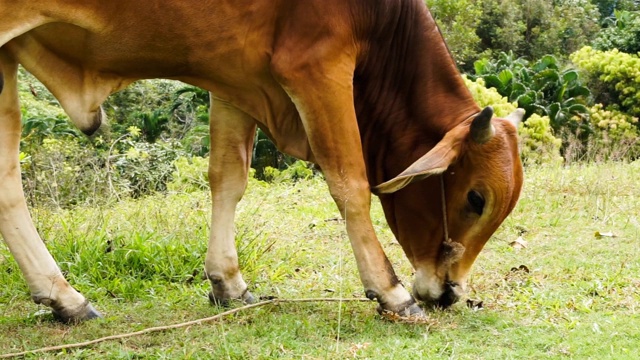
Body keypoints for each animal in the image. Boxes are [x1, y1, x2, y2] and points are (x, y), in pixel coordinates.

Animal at [0, 0, 524, 324]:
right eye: (476, 198)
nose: (452, 292)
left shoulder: (234, 76)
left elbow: (228, 178)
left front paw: (228, 283)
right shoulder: (317, 65)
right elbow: (350, 183)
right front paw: (389, 291)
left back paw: (64, 298)